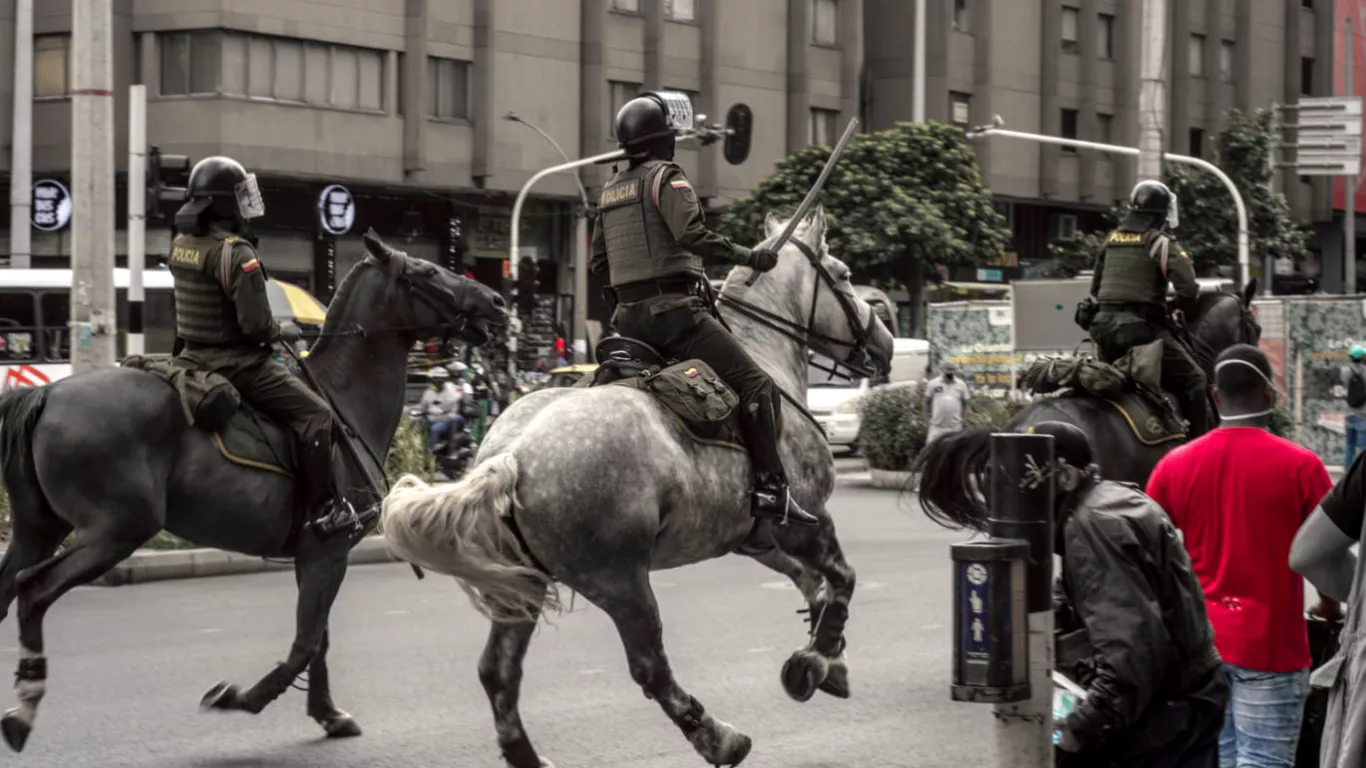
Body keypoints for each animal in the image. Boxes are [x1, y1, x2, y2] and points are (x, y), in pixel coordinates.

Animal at [0, 229, 508, 748]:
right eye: (427, 271)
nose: (496, 301)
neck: (342, 397)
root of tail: (46, 394)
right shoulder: (328, 551)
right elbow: (307, 641)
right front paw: (243, 697)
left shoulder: (314, 555)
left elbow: (318, 637)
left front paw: (326, 712)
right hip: (115, 532)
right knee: (33, 589)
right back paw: (25, 708)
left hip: (38, 529)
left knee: (9, 587)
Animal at [382, 209, 896, 765]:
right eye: (844, 274)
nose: (886, 343)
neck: (766, 357)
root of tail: (511, 456)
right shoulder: (805, 520)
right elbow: (841, 579)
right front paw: (817, 660)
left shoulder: (755, 539)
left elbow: (812, 583)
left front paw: (830, 657)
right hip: (622, 583)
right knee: (650, 667)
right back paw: (719, 737)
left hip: (524, 584)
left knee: (498, 672)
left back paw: (527, 754)